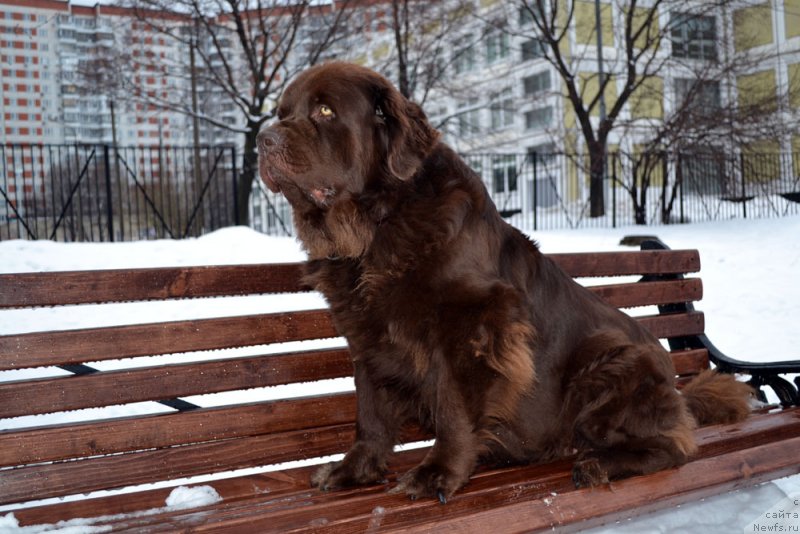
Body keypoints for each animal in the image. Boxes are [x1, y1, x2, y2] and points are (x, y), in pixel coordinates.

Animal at [256, 61, 752, 502]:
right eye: (282, 112)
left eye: (324, 111)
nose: (263, 138)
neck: (375, 230)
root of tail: (677, 390)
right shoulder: (367, 335)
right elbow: (370, 412)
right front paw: (354, 470)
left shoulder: (474, 326)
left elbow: (454, 407)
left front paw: (437, 474)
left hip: (612, 363)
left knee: (674, 447)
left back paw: (597, 463)